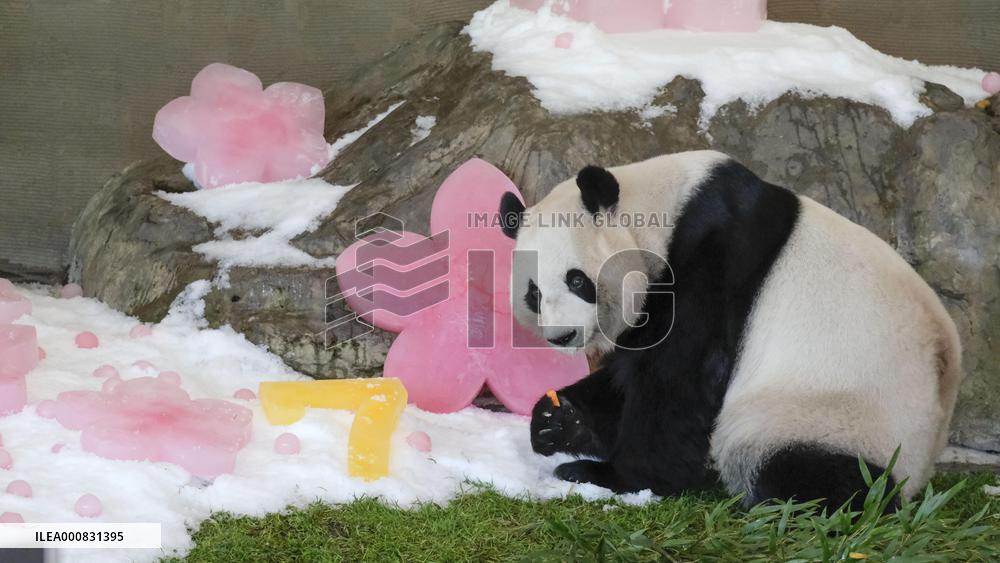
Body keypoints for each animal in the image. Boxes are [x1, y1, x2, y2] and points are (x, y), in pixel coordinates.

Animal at [498, 150, 962, 510]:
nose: (561, 337)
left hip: (839, 415)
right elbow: (628, 372)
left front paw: (616, 476)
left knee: (805, 467)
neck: (661, 210)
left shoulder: (714, 257)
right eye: (534, 293)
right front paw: (557, 420)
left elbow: (677, 375)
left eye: (578, 280)